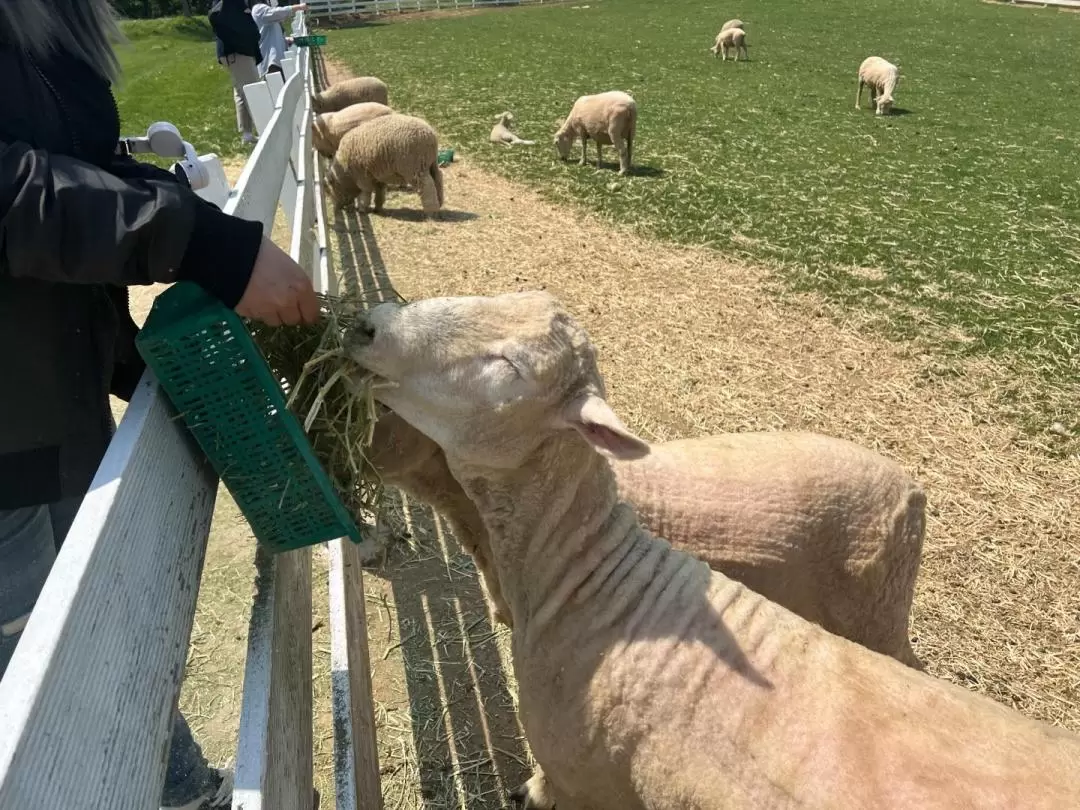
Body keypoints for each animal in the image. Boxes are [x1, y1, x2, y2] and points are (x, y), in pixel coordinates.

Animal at [345, 291, 1080, 810]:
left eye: (508, 367)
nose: (366, 325)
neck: (594, 576)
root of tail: (915, 486)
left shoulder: (581, 779)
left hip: (876, 607)